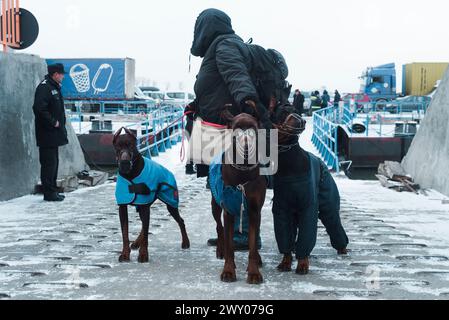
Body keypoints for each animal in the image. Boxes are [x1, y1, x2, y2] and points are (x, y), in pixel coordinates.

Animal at [113, 127, 190, 262]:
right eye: (118, 147)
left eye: (131, 145)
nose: (125, 162)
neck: (131, 174)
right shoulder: (123, 207)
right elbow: (125, 233)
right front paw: (125, 254)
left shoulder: (144, 205)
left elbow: (145, 233)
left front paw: (143, 254)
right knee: (144, 225)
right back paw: (136, 243)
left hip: (171, 201)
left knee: (180, 220)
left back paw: (185, 242)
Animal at [209, 111, 268, 284]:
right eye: (237, 130)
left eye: (253, 128)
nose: (246, 145)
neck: (243, 171)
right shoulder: (228, 210)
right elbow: (230, 244)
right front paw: (228, 271)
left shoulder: (255, 210)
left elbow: (253, 244)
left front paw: (254, 272)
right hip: (215, 203)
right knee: (219, 227)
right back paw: (220, 249)